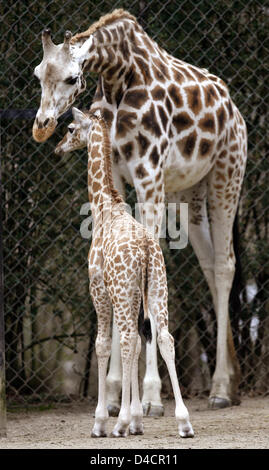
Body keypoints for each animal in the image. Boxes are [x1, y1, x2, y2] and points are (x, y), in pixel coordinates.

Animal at [55, 108, 193, 438]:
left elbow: (104, 344)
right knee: (163, 337)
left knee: (130, 337)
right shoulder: (131, 294)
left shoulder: (98, 289)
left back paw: (117, 423)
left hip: (123, 292)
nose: (57, 148)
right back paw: (183, 422)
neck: (104, 207)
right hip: (157, 288)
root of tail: (144, 248)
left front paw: (104, 421)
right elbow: (138, 344)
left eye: (70, 128)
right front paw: (136, 420)